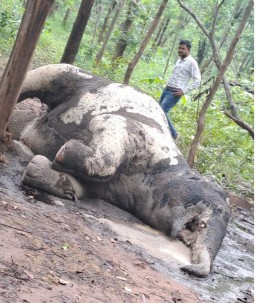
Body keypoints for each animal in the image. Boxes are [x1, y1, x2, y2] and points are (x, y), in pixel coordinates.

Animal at [13, 64, 230, 278]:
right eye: (218, 209)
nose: (185, 268)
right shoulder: (136, 131)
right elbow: (105, 148)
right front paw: (63, 150)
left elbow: (83, 187)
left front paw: (45, 170)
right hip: (73, 76)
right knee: (43, 77)